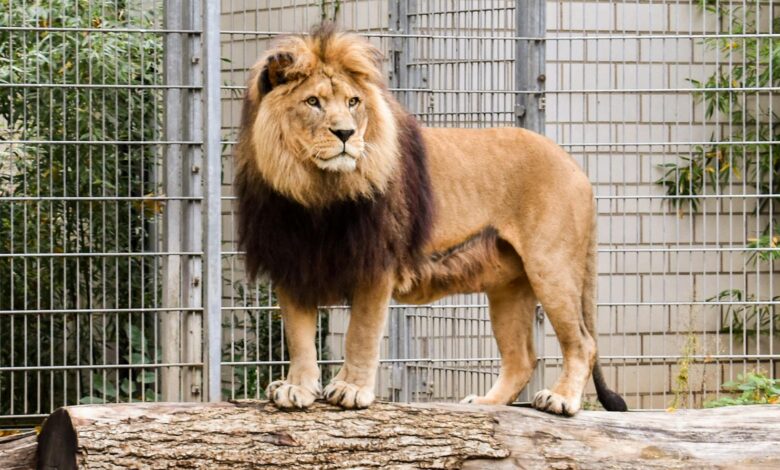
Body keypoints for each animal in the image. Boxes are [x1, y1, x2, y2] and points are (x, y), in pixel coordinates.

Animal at [235, 24, 627, 416]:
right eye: (313, 102)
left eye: (353, 102)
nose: (346, 134)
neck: (316, 191)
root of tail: (575, 165)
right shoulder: (292, 263)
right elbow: (299, 338)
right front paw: (296, 388)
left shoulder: (376, 264)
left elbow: (361, 334)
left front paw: (350, 389)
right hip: (509, 285)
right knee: (522, 358)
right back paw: (485, 403)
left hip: (551, 267)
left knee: (583, 342)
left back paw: (561, 399)